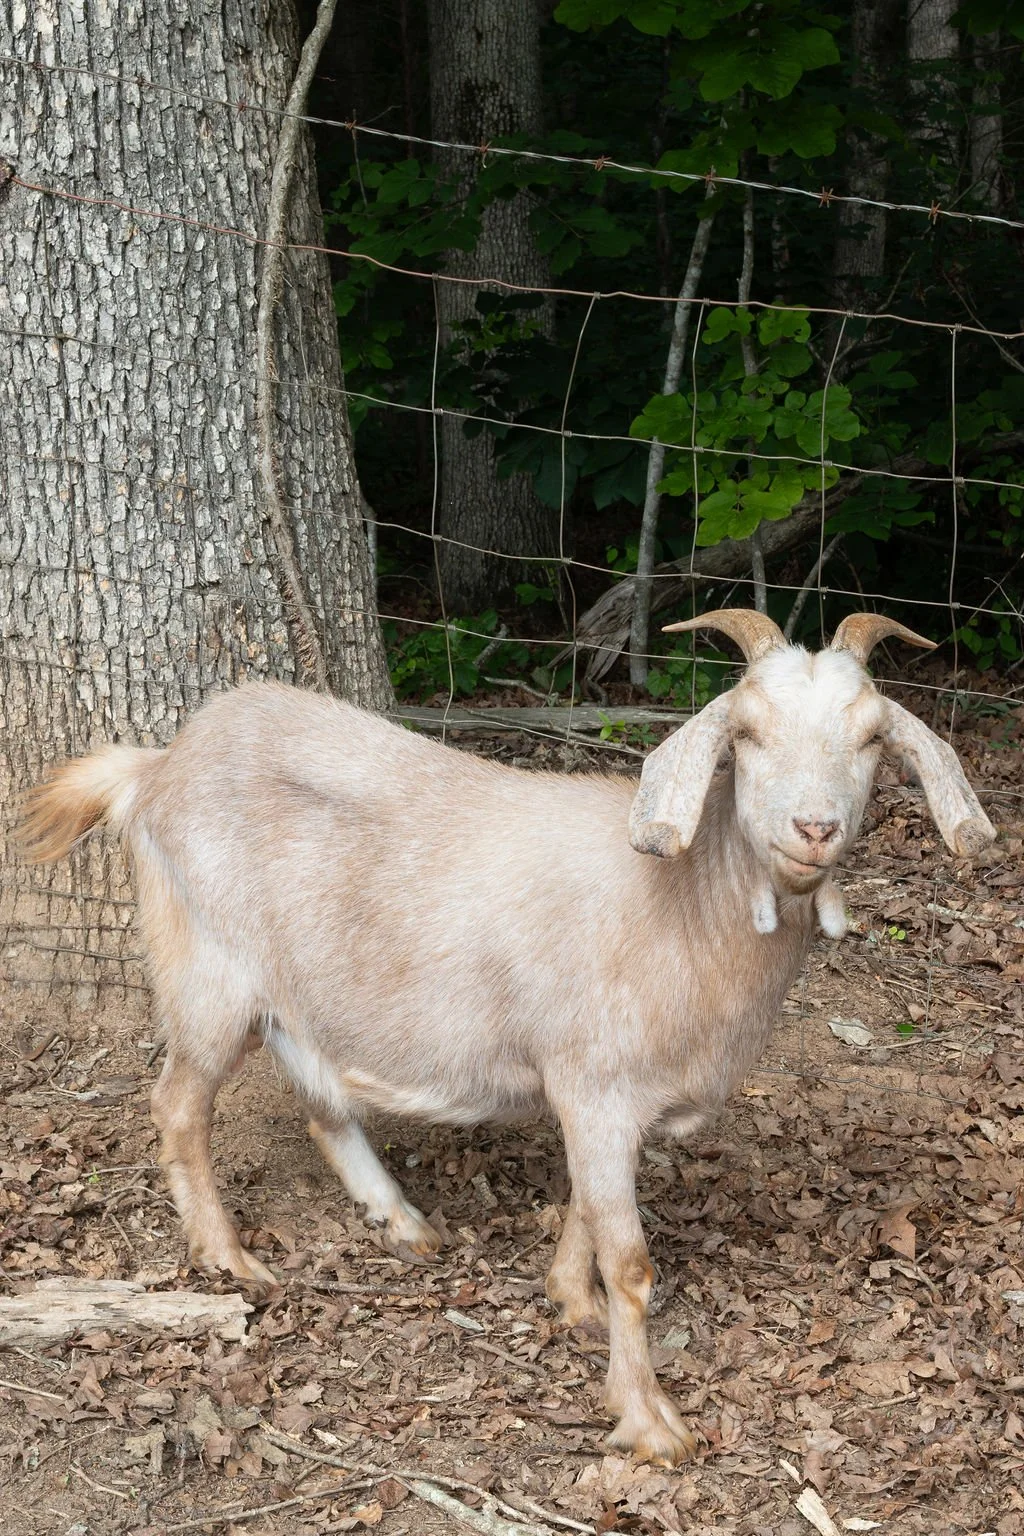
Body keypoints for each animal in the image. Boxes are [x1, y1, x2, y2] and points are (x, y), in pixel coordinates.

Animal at [18, 609, 994, 1464]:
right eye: (746, 733)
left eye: (872, 739)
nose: (815, 828)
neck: (681, 908)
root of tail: (155, 765)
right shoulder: (597, 1085)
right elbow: (631, 1260)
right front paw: (649, 1420)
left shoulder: (601, 1099)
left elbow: (586, 1210)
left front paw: (571, 1301)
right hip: (209, 971)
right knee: (179, 1104)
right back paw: (228, 1256)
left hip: (297, 993)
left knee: (322, 1103)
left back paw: (403, 1222)